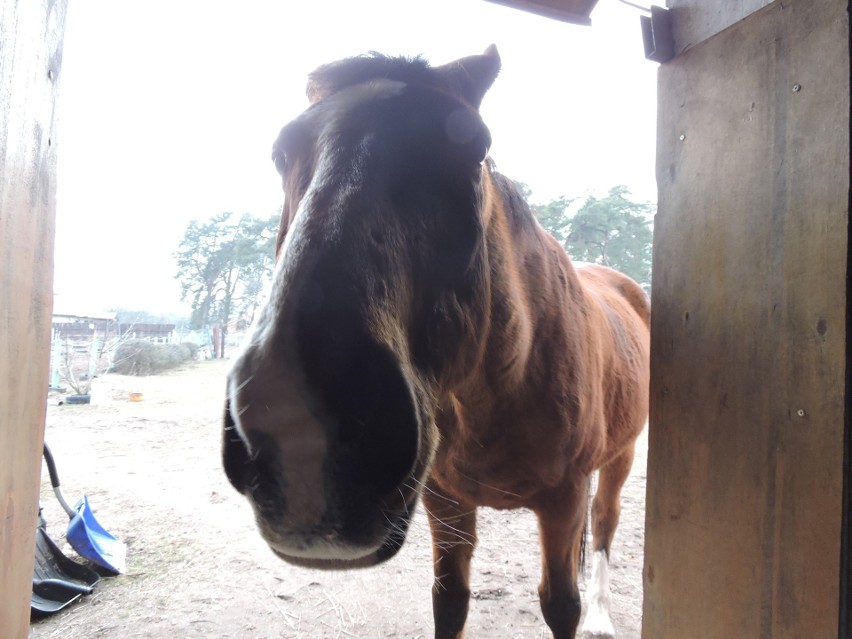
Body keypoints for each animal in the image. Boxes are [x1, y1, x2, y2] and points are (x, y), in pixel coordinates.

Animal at [223, 46, 648, 639]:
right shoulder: (442, 501)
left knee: (606, 524)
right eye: (281, 151)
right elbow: (449, 601)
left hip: (620, 457)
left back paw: (602, 616)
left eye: (476, 148)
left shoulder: (564, 500)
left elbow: (561, 604)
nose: (302, 430)